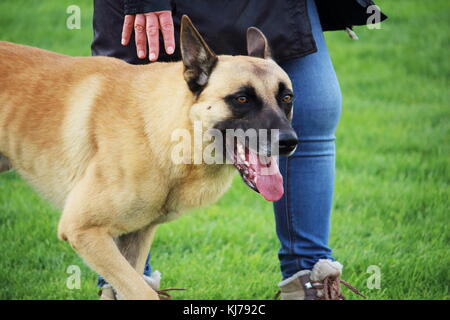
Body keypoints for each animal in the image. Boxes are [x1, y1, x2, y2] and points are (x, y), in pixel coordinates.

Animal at [1, 15, 300, 300]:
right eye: (241, 99)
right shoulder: (83, 230)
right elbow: (141, 291)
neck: (158, 129)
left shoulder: (135, 235)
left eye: (286, 98)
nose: (289, 142)